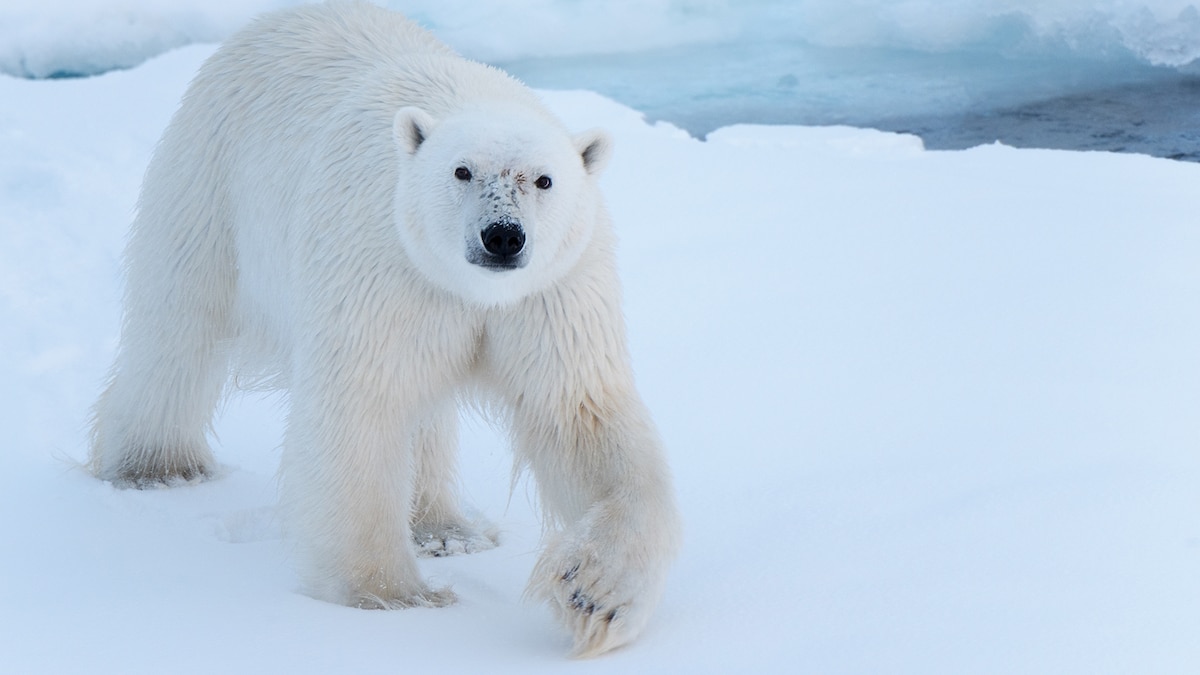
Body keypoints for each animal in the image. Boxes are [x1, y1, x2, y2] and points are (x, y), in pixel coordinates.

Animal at [87, 0, 681, 658]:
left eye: (543, 179)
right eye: (461, 171)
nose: (502, 236)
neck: (471, 290)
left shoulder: (551, 294)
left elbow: (580, 414)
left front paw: (595, 593)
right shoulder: (386, 267)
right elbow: (362, 407)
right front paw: (390, 596)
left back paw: (447, 529)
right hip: (213, 179)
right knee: (179, 321)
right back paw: (156, 466)